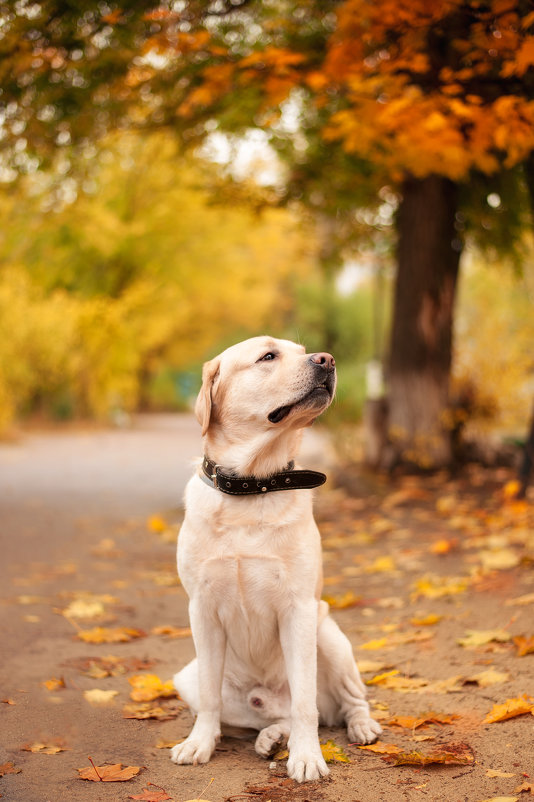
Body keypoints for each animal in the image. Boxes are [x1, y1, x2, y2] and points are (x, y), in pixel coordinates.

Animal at [171, 334, 382, 780]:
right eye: (268, 356)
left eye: (303, 351)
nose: (327, 360)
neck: (252, 486)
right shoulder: (201, 609)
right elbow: (211, 699)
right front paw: (199, 744)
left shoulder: (298, 608)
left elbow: (304, 703)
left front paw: (307, 758)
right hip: (186, 677)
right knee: (263, 716)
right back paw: (269, 738)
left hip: (329, 634)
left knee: (341, 704)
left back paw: (360, 726)